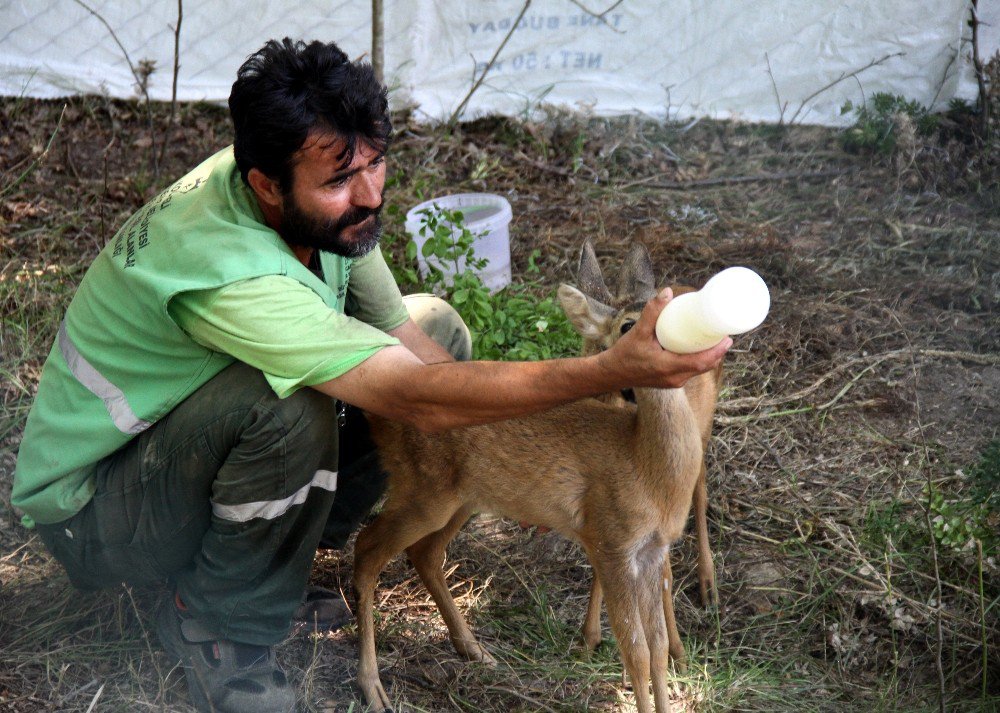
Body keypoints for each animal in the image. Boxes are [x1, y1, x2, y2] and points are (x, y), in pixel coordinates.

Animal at [356, 242, 724, 708]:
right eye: (628, 325)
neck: (642, 461)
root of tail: (377, 414)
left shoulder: (651, 551)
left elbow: (656, 648)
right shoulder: (612, 541)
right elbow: (636, 651)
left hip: (463, 499)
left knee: (422, 553)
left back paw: (474, 650)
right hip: (422, 489)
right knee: (366, 550)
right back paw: (373, 687)